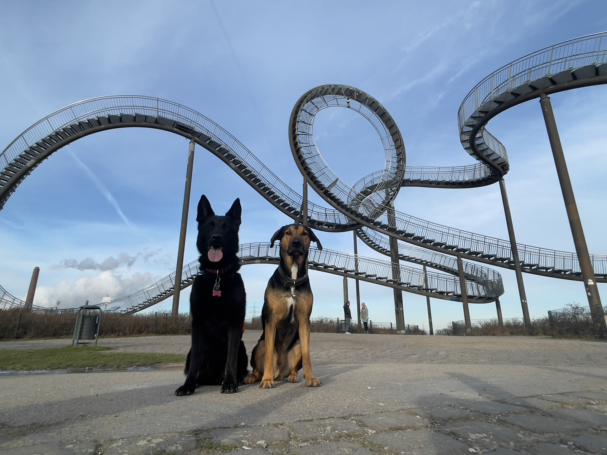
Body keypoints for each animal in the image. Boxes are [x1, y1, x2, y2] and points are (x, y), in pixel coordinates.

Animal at [176, 195, 249, 396]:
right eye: (209, 226)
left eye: (226, 227)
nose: (216, 237)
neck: (217, 275)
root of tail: (214, 378)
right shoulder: (198, 323)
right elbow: (195, 361)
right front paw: (188, 385)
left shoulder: (235, 324)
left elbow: (230, 358)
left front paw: (230, 383)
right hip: (191, 352)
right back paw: (198, 381)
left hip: (243, 347)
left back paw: (238, 379)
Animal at [246, 224, 326, 388]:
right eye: (288, 233)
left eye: (305, 233)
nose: (296, 243)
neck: (292, 280)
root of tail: (279, 372)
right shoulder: (271, 319)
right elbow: (269, 354)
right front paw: (266, 380)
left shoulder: (304, 321)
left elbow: (307, 355)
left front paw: (311, 378)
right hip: (259, 344)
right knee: (257, 368)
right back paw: (255, 377)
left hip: (297, 345)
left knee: (294, 367)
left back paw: (293, 376)